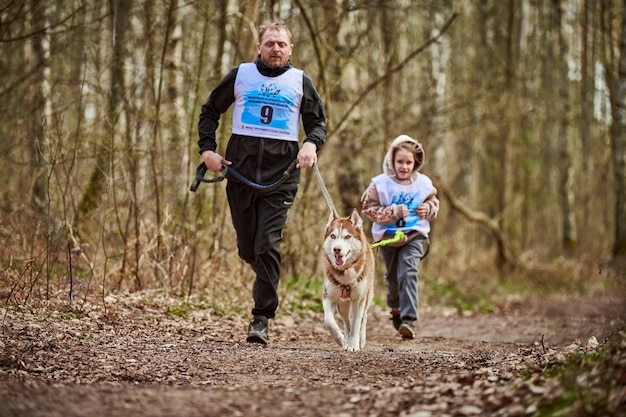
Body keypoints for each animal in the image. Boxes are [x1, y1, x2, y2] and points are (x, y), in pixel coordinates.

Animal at [324, 206, 372, 350]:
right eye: (333, 236)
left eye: (347, 236)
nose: (336, 249)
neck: (345, 273)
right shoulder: (329, 296)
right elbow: (328, 321)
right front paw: (340, 339)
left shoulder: (359, 300)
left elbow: (357, 324)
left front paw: (354, 345)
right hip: (342, 305)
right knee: (346, 321)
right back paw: (346, 339)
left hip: (366, 298)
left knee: (363, 318)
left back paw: (360, 340)